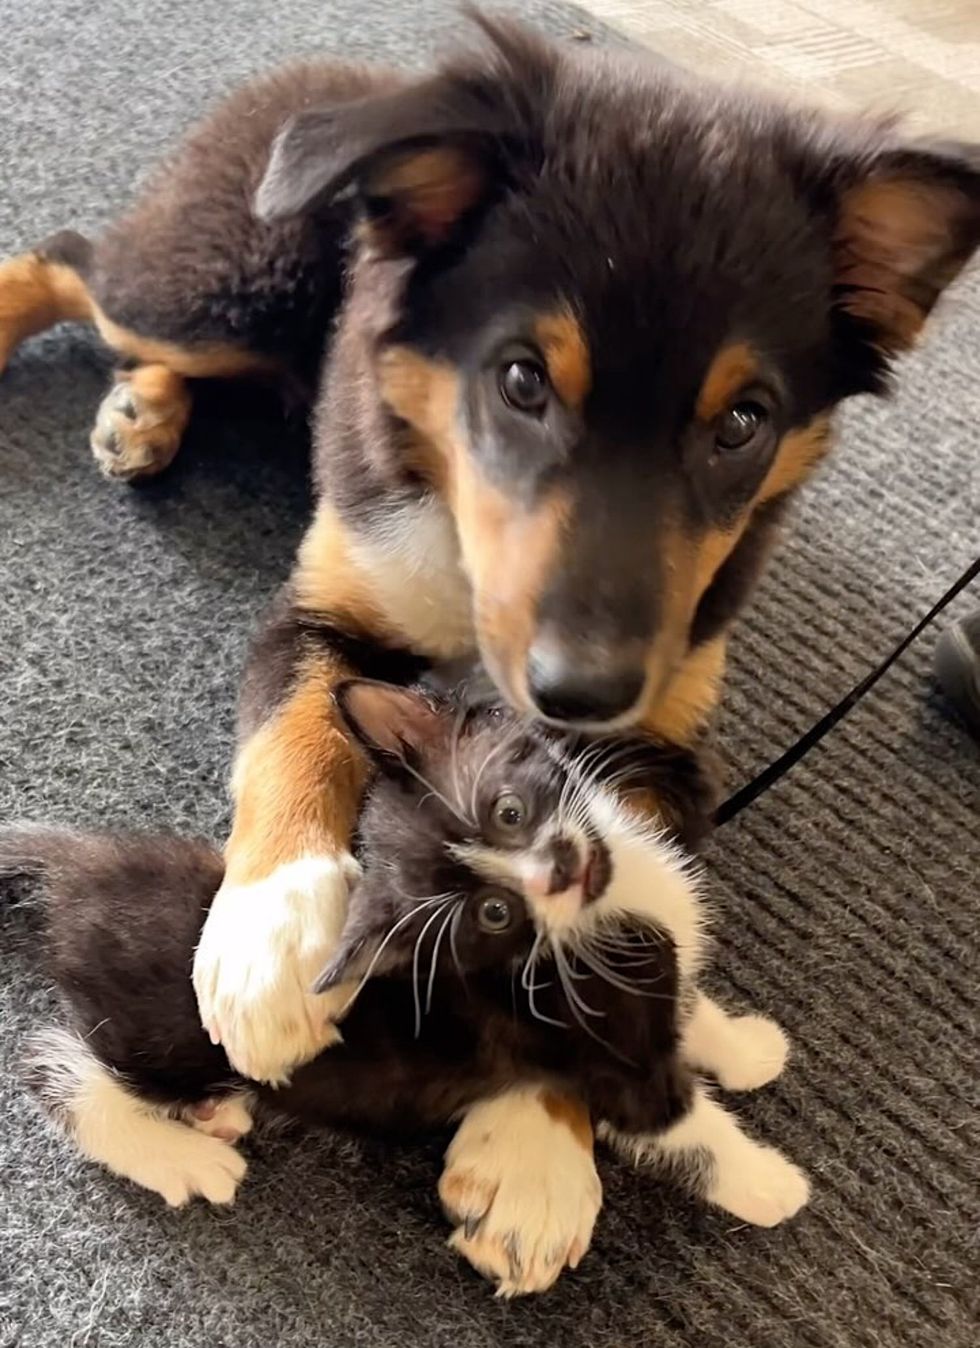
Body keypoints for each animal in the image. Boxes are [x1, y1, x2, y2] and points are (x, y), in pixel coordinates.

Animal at [0, 684, 808, 1234]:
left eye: (508, 811)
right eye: (493, 913)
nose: (557, 873)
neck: (603, 914)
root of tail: (84, 869)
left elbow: (691, 1013)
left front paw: (748, 1050)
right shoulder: (605, 1057)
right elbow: (685, 1130)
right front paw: (772, 1185)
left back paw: (214, 1117)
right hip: (155, 1037)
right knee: (53, 1065)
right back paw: (186, 1158)